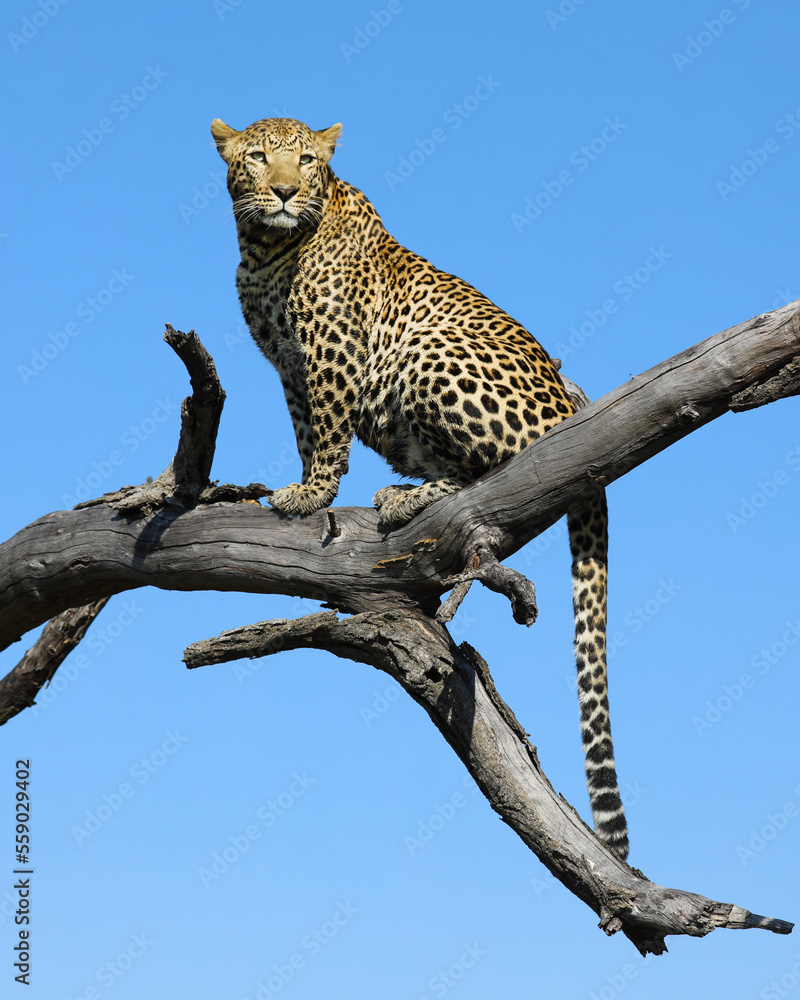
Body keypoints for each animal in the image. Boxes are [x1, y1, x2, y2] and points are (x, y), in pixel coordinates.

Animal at [211, 116, 629, 861]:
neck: (264, 248)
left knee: (506, 465)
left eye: (307, 161)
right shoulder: (288, 366)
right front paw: (309, 487)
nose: (284, 191)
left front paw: (312, 494)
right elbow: (305, 429)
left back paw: (412, 495)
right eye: (257, 157)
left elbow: (327, 429)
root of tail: (572, 405)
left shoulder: (331, 354)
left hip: (427, 354)